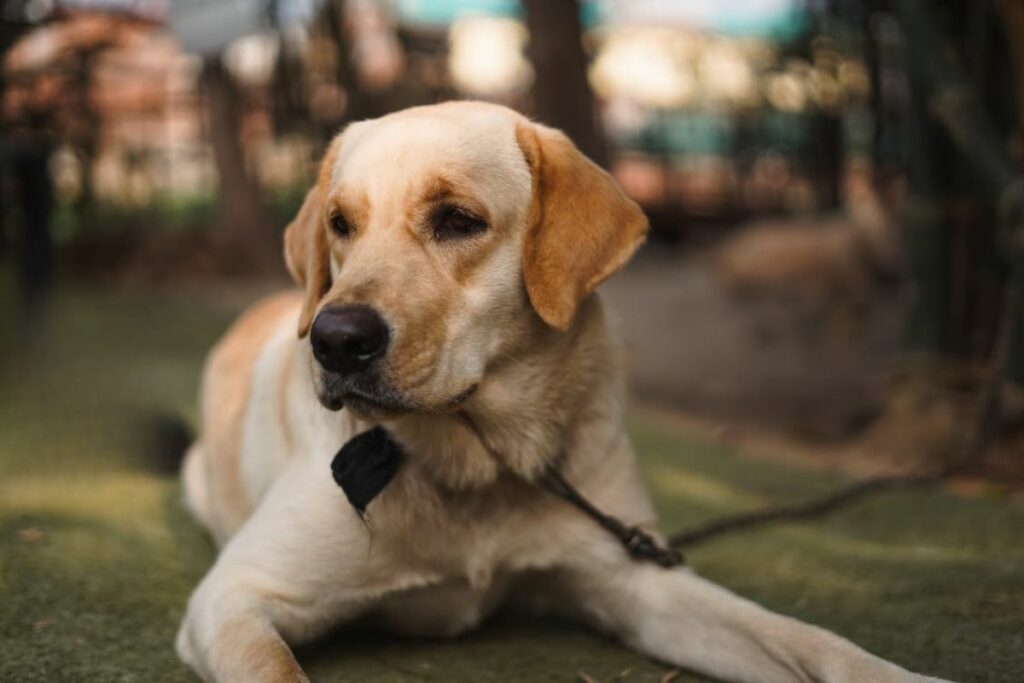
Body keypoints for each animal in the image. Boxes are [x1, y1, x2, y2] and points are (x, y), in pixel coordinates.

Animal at [176, 101, 950, 683]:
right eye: (341, 224)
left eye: (457, 219)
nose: (333, 339)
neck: (484, 462)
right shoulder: (234, 595)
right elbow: (277, 668)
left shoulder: (636, 580)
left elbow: (806, 637)